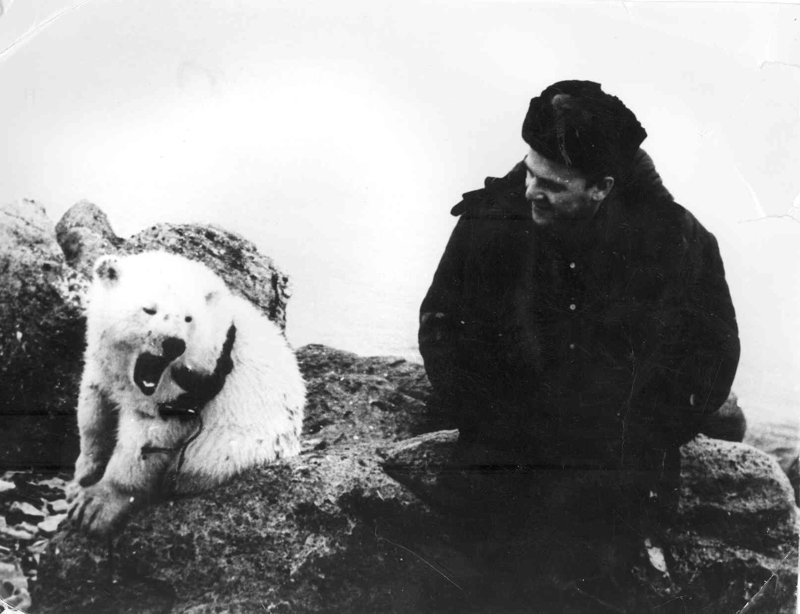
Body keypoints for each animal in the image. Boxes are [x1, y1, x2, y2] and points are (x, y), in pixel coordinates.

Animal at [68, 253, 306, 536]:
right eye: (149, 309)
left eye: (188, 318)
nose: (173, 344)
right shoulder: (101, 365)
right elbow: (93, 409)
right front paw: (82, 474)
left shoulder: (185, 390)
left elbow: (144, 443)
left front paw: (95, 506)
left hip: (233, 450)